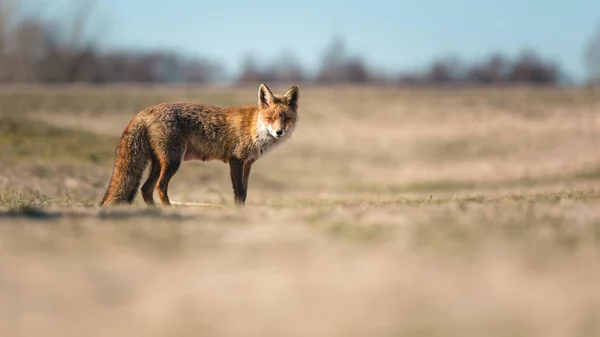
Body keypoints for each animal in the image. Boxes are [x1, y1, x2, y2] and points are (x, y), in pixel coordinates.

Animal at [98, 82, 300, 206]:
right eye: (270, 118)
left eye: (285, 119)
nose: (279, 132)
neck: (253, 127)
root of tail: (148, 110)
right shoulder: (236, 161)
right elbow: (239, 193)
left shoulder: (248, 164)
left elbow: (244, 194)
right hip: (172, 161)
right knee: (159, 187)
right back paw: (170, 210)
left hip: (158, 163)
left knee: (146, 189)